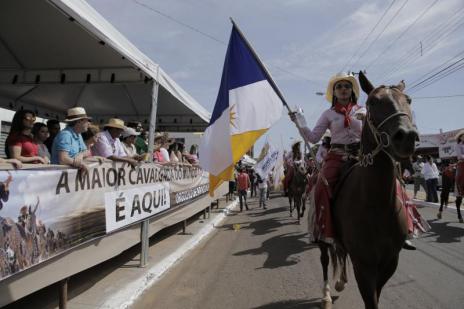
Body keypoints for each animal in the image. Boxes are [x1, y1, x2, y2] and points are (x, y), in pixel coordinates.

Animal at [320, 71, 416, 306]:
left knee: (340, 253)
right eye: (373, 101)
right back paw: (326, 294)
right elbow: (370, 300)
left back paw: (341, 281)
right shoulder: (364, 265)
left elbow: (376, 296)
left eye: (408, 100)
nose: (406, 136)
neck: (375, 204)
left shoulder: (390, 262)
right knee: (326, 259)